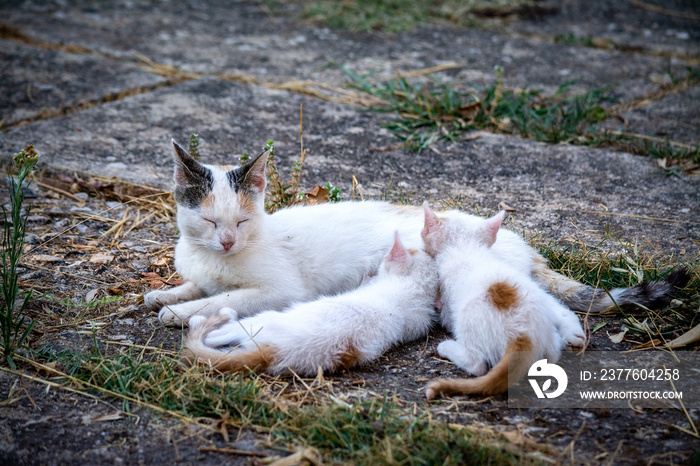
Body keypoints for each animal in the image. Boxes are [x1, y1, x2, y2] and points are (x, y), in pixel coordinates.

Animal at [144, 140, 688, 326]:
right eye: (209, 221)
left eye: (241, 221)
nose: (227, 241)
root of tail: (527, 249)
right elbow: (199, 285)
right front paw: (167, 293)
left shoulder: (280, 289)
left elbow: (226, 298)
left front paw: (180, 312)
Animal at [183, 231, 440, 376]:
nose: (379, 261)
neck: (414, 290)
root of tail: (273, 353)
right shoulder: (418, 322)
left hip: (265, 320)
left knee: (226, 333)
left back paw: (209, 322)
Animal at [418, 205, 588, 400]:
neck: (465, 248)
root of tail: (523, 336)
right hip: (549, 334)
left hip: (468, 317)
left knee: (477, 363)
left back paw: (447, 348)